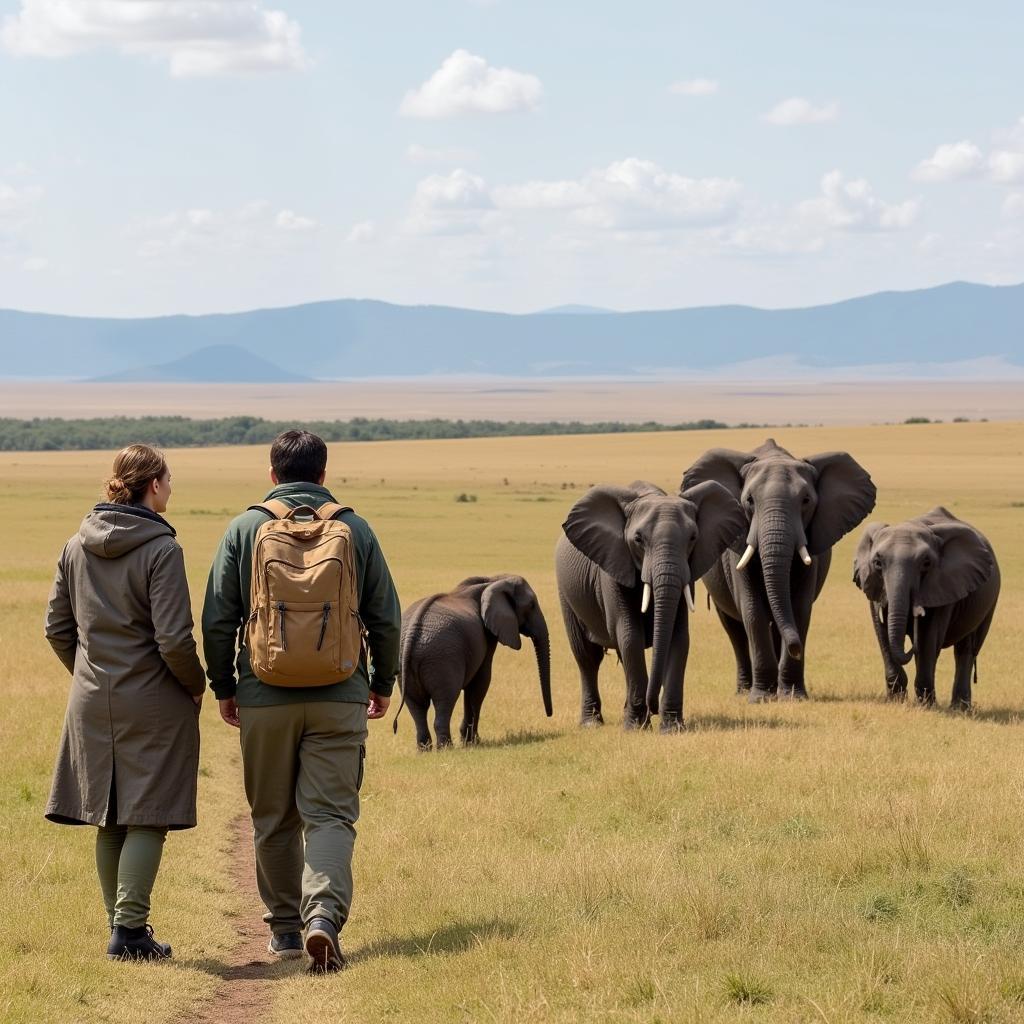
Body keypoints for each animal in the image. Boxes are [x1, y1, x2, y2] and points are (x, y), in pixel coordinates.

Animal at [395, 577, 552, 753]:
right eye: (531, 605)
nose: (548, 714)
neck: (493, 580)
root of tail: (412, 634)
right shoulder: (487, 635)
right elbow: (481, 683)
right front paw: (473, 742)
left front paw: (469, 741)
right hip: (442, 660)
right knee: (445, 700)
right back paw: (446, 748)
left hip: (404, 664)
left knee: (417, 708)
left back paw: (424, 751)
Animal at [557, 479, 741, 729]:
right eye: (638, 540)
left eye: (693, 538)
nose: (653, 708)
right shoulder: (614, 565)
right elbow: (629, 635)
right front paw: (635, 727)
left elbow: (678, 637)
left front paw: (672, 728)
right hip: (566, 594)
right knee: (587, 657)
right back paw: (592, 723)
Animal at [684, 440, 876, 704]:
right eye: (749, 500)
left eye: (806, 500)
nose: (796, 649)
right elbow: (752, 611)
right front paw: (761, 699)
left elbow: (799, 609)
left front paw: (793, 697)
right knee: (734, 629)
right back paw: (744, 690)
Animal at [847, 507, 999, 708]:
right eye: (877, 563)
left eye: (926, 564)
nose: (917, 611)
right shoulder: (873, 585)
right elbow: (882, 631)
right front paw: (896, 701)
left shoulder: (943, 586)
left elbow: (928, 637)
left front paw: (926, 706)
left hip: (990, 603)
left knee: (967, 649)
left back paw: (960, 708)